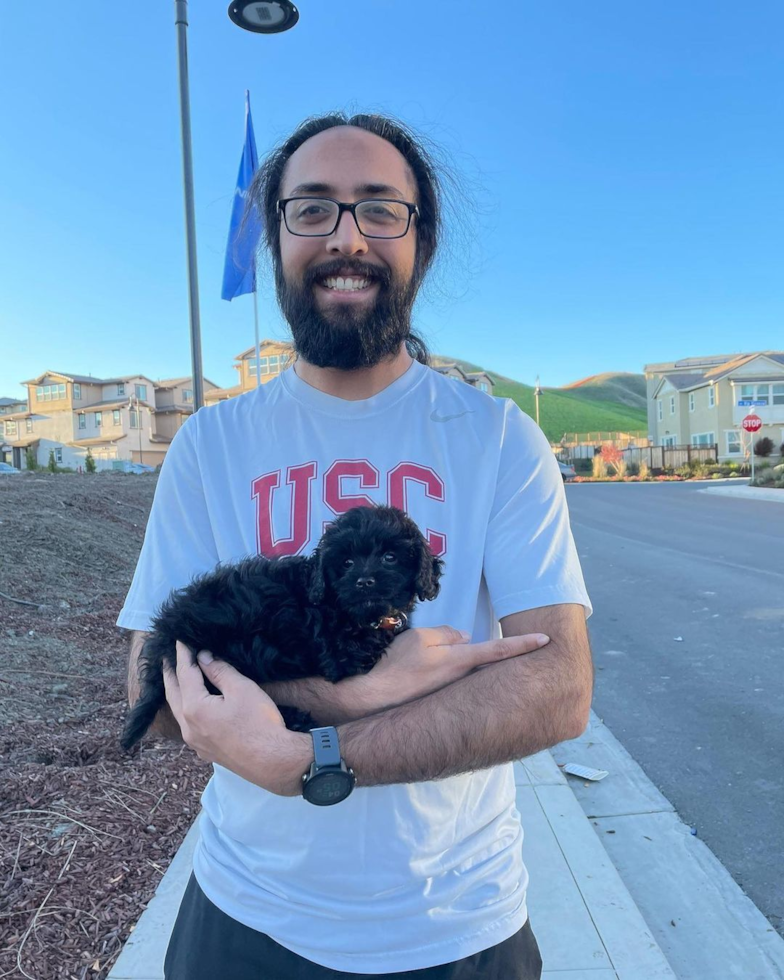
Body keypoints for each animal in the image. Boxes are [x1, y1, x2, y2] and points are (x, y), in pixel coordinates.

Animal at [121, 506, 440, 752]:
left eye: (390, 557)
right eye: (347, 563)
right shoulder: (340, 655)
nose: (364, 582)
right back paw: (295, 718)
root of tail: (167, 627)